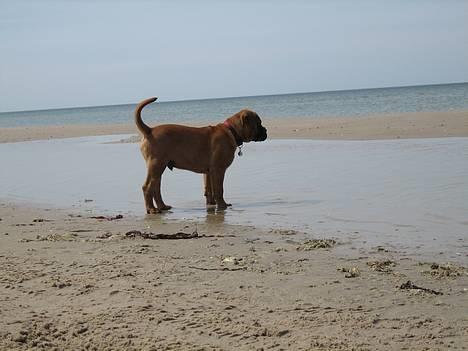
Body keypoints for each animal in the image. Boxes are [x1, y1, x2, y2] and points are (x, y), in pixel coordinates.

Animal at [135, 95, 266, 214]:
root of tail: (149, 130)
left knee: (156, 188)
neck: (231, 131)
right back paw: (151, 209)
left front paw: (212, 203)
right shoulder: (218, 170)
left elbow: (209, 189)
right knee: (147, 187)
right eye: (259, 123)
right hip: (156, 165)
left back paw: (162, 207)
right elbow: (219, 189)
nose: (266, 130)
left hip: (159, 168)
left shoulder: (208, 172)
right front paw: (222, 205)